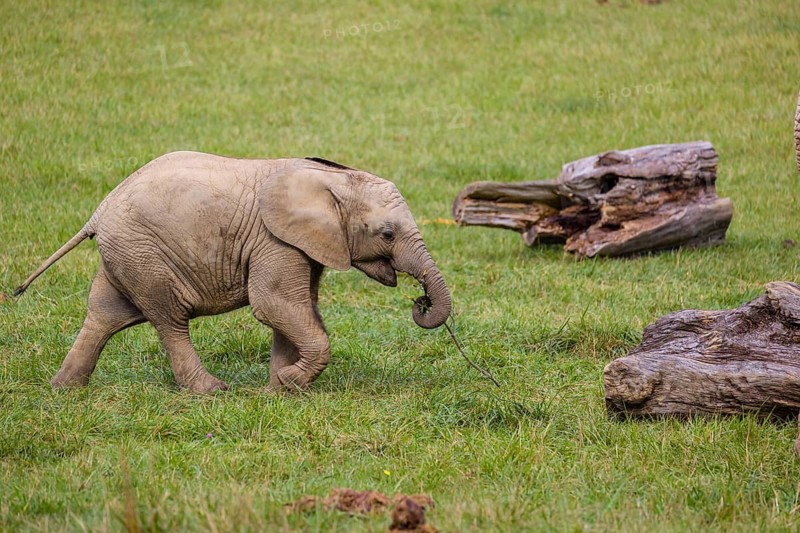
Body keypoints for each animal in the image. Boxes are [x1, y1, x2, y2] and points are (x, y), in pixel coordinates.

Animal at [15, 152, 452, 393]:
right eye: (387, 233)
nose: (420, 300)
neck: (333, 179)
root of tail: (97, 212)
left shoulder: (299, 243)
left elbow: (299, 308)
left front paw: (279, 391)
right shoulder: (275, 240)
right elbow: (274, 304)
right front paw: (290, 383)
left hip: (126, 255)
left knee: (104, 315)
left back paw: (65, 390)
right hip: (144, 254)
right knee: (170, 320)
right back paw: (211, 391)